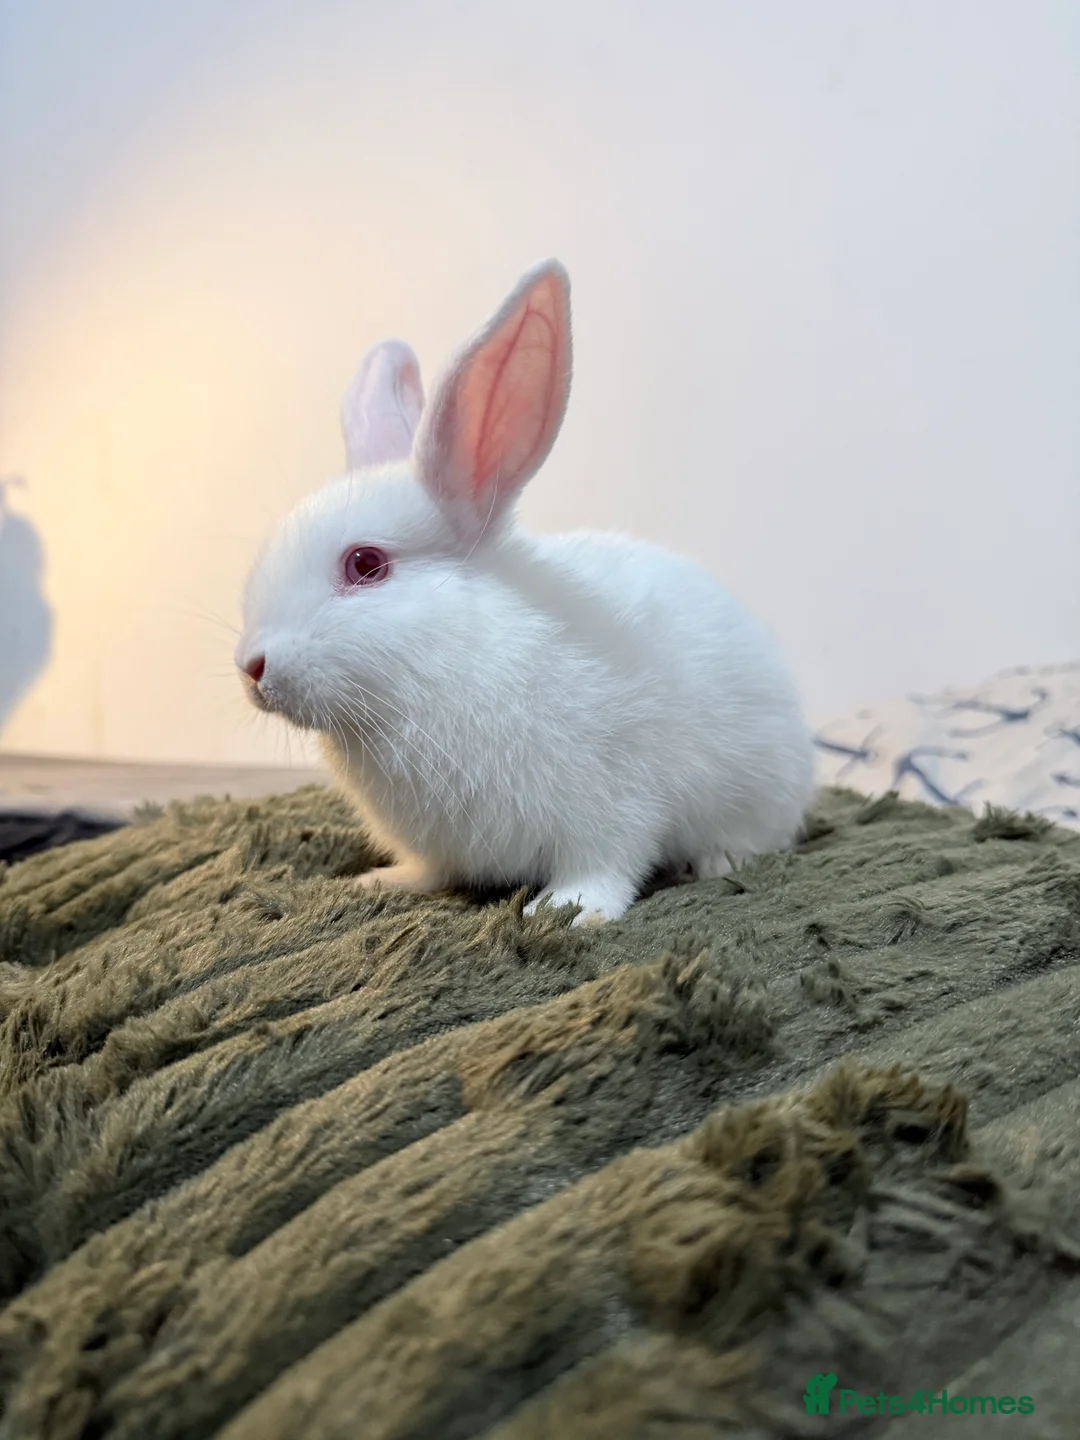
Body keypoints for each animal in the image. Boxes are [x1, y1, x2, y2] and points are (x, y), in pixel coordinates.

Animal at [237, 259, 816, 925]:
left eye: (366, 564)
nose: (251, 667)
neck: (449, 662)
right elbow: (434, 870)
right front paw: (383, 881)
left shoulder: (612, 802)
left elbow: (605, 863)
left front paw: (567, 911)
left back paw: (719, 859)